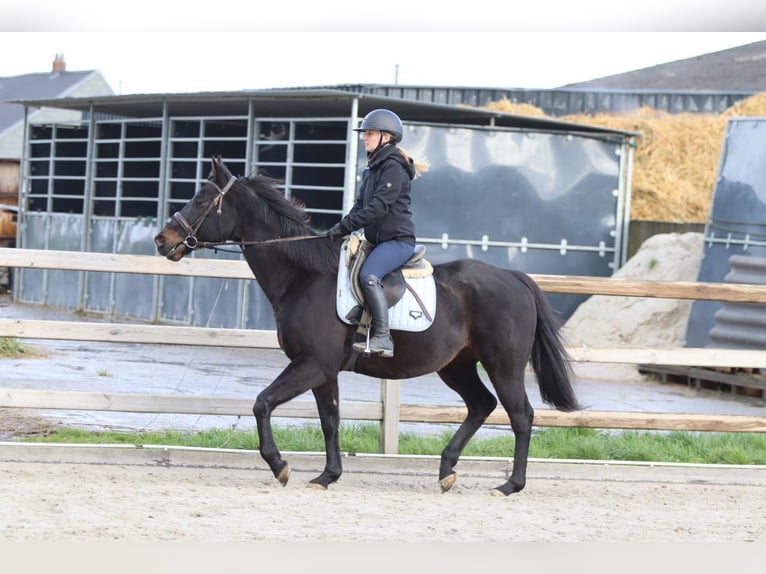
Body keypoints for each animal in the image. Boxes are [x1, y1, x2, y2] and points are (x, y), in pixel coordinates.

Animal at [154, 156, 581, 496]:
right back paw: (446, 470)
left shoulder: (312, 364)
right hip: (457, 366)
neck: (304, 278)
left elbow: (262, 403)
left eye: (202, 200)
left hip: (503, 365)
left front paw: (280, 466)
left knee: (520, 415)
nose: (162, 239)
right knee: (482, 405)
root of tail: (514, 278)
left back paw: (510, 485)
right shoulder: (324, 371)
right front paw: (327, 476)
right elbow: (330, 421)